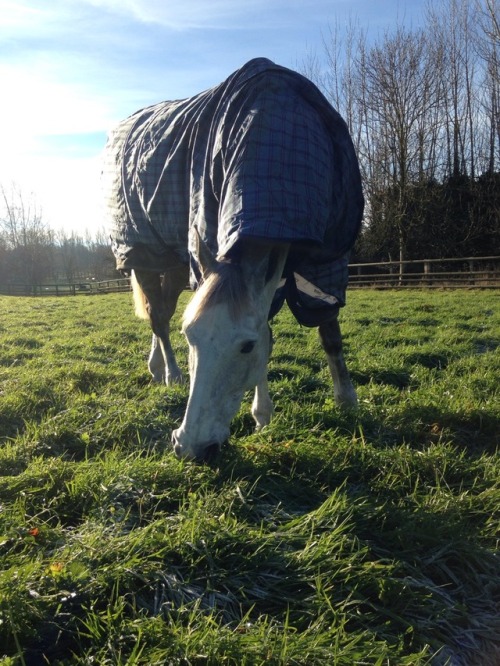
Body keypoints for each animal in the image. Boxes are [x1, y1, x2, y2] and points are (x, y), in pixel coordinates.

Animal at [103, 57, 366, 460]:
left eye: (246, 346)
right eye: (191, 337)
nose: (191, 446)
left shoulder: (326, 265)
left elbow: (325, 334)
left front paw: (346, 400)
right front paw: (263, 414)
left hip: (175, 266)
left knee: (157, 311)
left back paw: (156, 367)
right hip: (142, 256)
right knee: (158, 317)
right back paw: (172, 374)